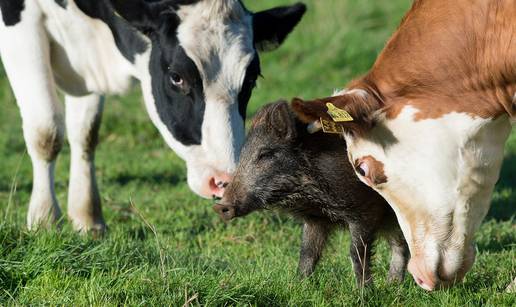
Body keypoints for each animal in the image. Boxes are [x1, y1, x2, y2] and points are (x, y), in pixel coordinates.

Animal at [1, 0, 306, 231]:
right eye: (176, 77)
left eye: (251, 79)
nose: (223, 180)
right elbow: (47, 132)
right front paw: (44, 220)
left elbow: (86, 133)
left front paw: (88, 219)